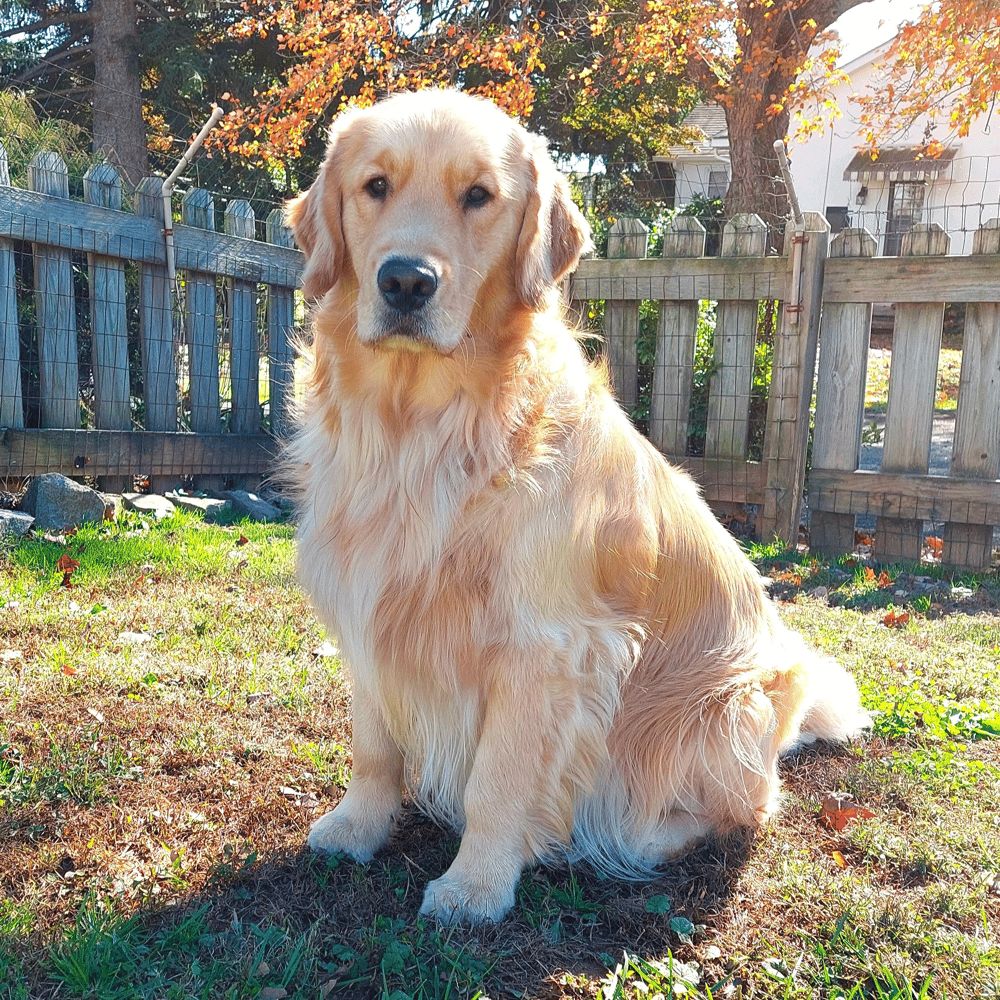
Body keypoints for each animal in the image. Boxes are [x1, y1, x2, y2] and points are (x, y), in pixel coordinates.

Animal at [286, 90, 872, 924]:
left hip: (723, 708)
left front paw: (476, 886)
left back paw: (625, 837)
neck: (421, 428)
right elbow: (375, 746)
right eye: (375, 186)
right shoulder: (370, 604)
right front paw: (356, 827)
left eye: (479, 196)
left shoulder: (548, 647)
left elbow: (498, 781)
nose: (404, 281)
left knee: (742, 806)